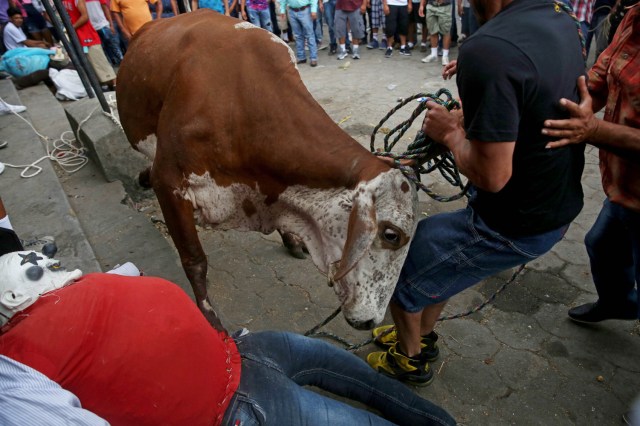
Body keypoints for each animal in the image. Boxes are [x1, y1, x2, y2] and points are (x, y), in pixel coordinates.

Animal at [117, 9, 418, 330]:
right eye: (392, 235)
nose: (371, 321)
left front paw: (291, 239)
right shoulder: (169, 181)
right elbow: (194, 260)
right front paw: (210, 319)